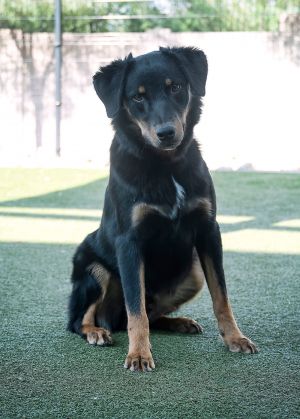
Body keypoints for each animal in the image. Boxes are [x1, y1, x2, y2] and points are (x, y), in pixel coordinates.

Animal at [68, 47, 258, 372]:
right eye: (137, 97)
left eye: (175, 87)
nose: (166, 133)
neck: (164, 165)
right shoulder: (129, 242)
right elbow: (136, 309)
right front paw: (139, 354)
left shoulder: (208, 230)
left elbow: (221, 297)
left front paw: (235, 338)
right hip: (94, 268)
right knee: (81, 319)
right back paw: (96, 331)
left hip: (192, 273)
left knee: (152, 314)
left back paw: (178, 322)